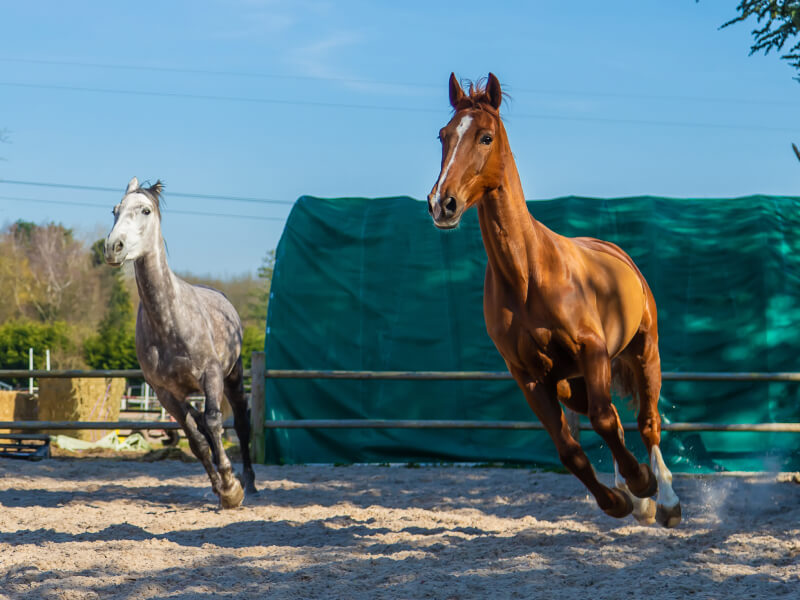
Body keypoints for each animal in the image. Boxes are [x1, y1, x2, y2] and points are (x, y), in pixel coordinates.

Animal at [104, 177, 257, 508]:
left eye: (145, 210)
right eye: (115, 210)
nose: (112, 247)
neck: (169, 321)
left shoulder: (211, 376)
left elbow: (213, 423)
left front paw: (232, 488)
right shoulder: (165, 393)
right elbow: (197, 440)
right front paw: (221, 487)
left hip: (233, 377)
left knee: (240, 422)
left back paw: (250, 483)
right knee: (201, 426)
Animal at [427, 73, 681, 527]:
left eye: (486, 136)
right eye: (443, 135)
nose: (442, 203)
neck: (528, 276)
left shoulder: (593, 350)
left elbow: (604, 420)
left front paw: (641, 483)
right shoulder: (528, 375)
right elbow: (570, 449)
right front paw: (618, 500)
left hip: (643, 353)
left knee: (646, 422)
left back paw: (665, 499)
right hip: (570, 382)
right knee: (616, 421)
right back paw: (636, 498)